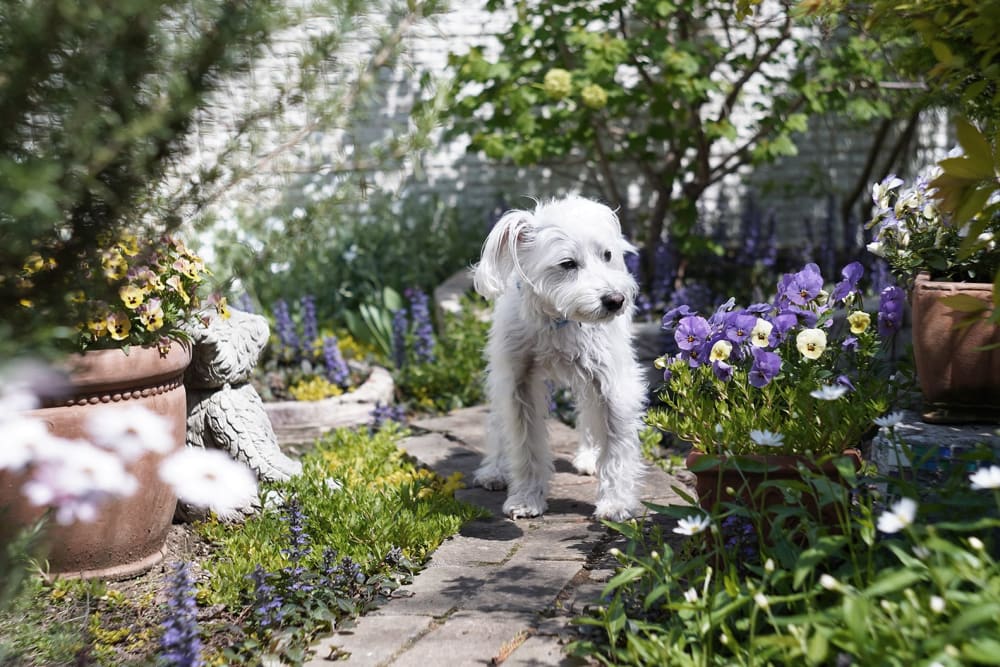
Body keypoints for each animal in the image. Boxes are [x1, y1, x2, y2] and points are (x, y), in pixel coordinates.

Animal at [470, 196, 644, 524]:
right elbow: (525, 444)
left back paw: (589, 457)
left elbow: (616, 443)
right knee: (498, 422)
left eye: (607, 255)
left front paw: (616, 504)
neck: (558, 319)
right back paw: (494, 469)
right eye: (567, 264)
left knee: (589, 413)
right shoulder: (518, 383)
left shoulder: (611, 381)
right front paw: (526, 499)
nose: (616, 300)